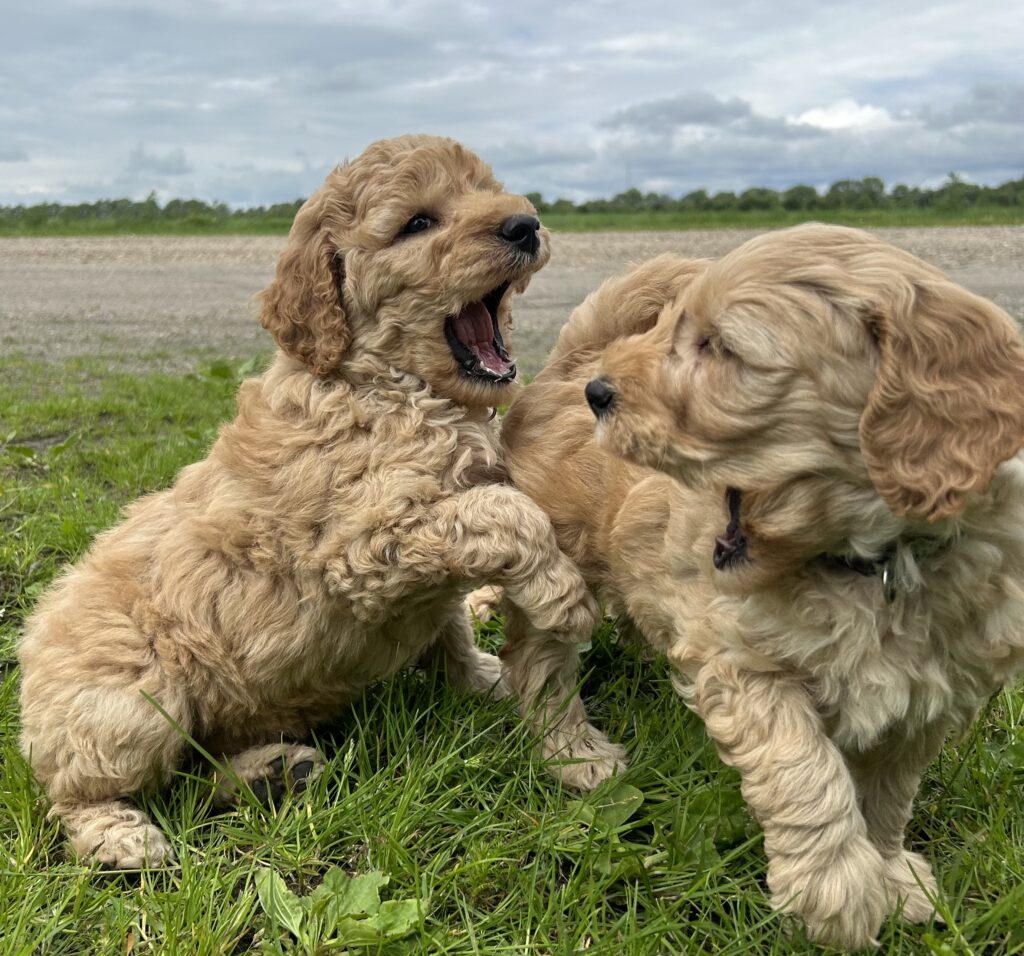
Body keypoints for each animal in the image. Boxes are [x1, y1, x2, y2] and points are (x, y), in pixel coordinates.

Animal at [18, 135, 597, 869]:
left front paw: (483, 677)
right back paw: (121, 836)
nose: (524, 225)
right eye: (418, 223)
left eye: (487, 191)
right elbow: (503, 513)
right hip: (131, 699)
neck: (384, 383)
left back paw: (271, 772)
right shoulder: (363, 547)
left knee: (196, 772)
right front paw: (562, 591)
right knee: (86, 788)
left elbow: (453, 628)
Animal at [489, 226, 1024, 948]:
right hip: (558, 564)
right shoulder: (744, 662)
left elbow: (888, 795)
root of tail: (571, 365)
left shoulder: (927, 699)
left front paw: (891, 878)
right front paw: (836, 890)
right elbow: (805, 768)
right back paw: (574, 754)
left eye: (721, 348)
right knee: (539, 660)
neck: (873, 562)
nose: (601, 394)